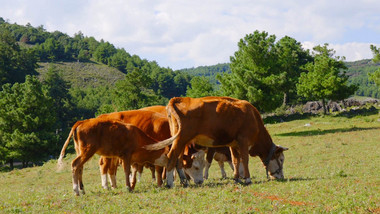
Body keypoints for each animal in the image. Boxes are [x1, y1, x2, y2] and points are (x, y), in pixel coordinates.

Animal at [145, 96, 288, 188]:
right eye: (281, 159)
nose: (281, 176)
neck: (253, 117)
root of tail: (179, 99)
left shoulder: (233, 144)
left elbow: (236, 161)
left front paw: (236, 178)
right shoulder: (243, 141)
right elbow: (245, 160)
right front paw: (247, 179)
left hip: (180, 140)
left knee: (178, 160)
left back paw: (184, 181)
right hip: (181, 139)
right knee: (171, 157)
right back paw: (170, 183)